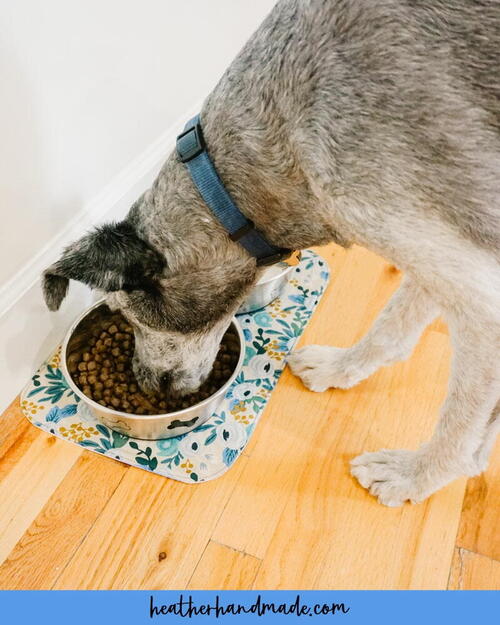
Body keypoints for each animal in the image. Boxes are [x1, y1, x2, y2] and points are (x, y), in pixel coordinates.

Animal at [43, 0, 500, 504]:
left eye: (128, 315)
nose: (143, 383)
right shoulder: (442, 252)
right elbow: (391, 329)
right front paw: (341, 368)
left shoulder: (478, 297)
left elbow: (461, 427)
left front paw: (415, 476)